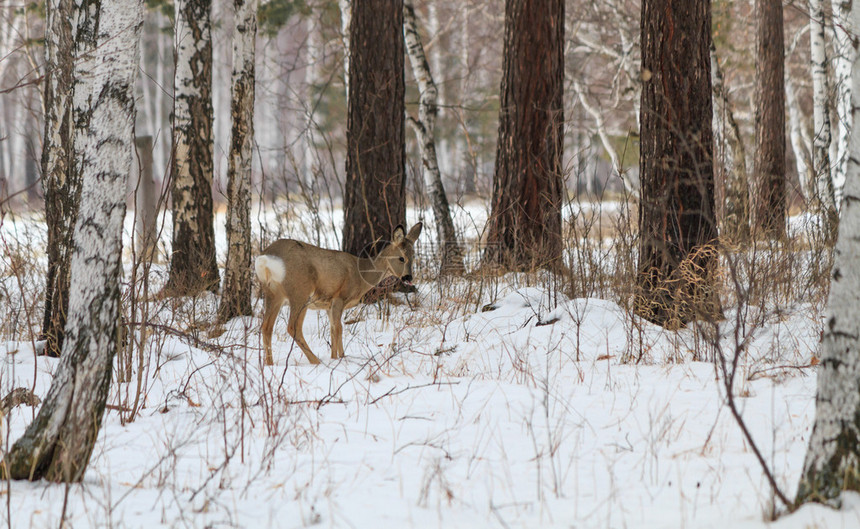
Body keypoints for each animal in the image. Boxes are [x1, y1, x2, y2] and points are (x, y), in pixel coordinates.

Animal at [254, 222, 422, 364]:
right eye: (401, 258)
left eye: (413, 256)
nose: (408, 278)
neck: (360, 274)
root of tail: (266, 258)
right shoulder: (339, 298)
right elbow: (339, 329)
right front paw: (340, 358)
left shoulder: (328, 305)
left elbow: (332, 330)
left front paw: (335, 357)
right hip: (300, 291)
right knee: (292, 327)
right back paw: (315, 361)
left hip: (273, 293)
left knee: (266, 327)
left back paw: (269, 364)